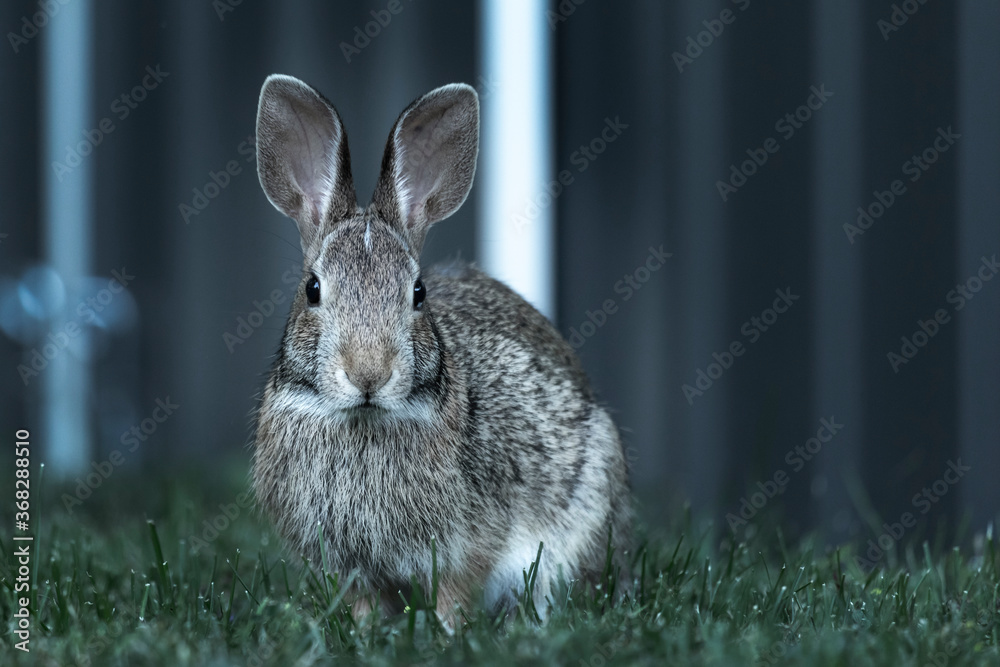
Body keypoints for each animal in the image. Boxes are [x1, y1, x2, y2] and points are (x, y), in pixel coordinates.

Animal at [250, 74, 631, 623]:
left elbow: (455, 591)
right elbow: (365, 604)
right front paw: (369, 633)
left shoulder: (470, 543)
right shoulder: (349, 567)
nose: (369, 374)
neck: (364, 418)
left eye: (418, 292)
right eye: (313, 289)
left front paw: (449, 630)